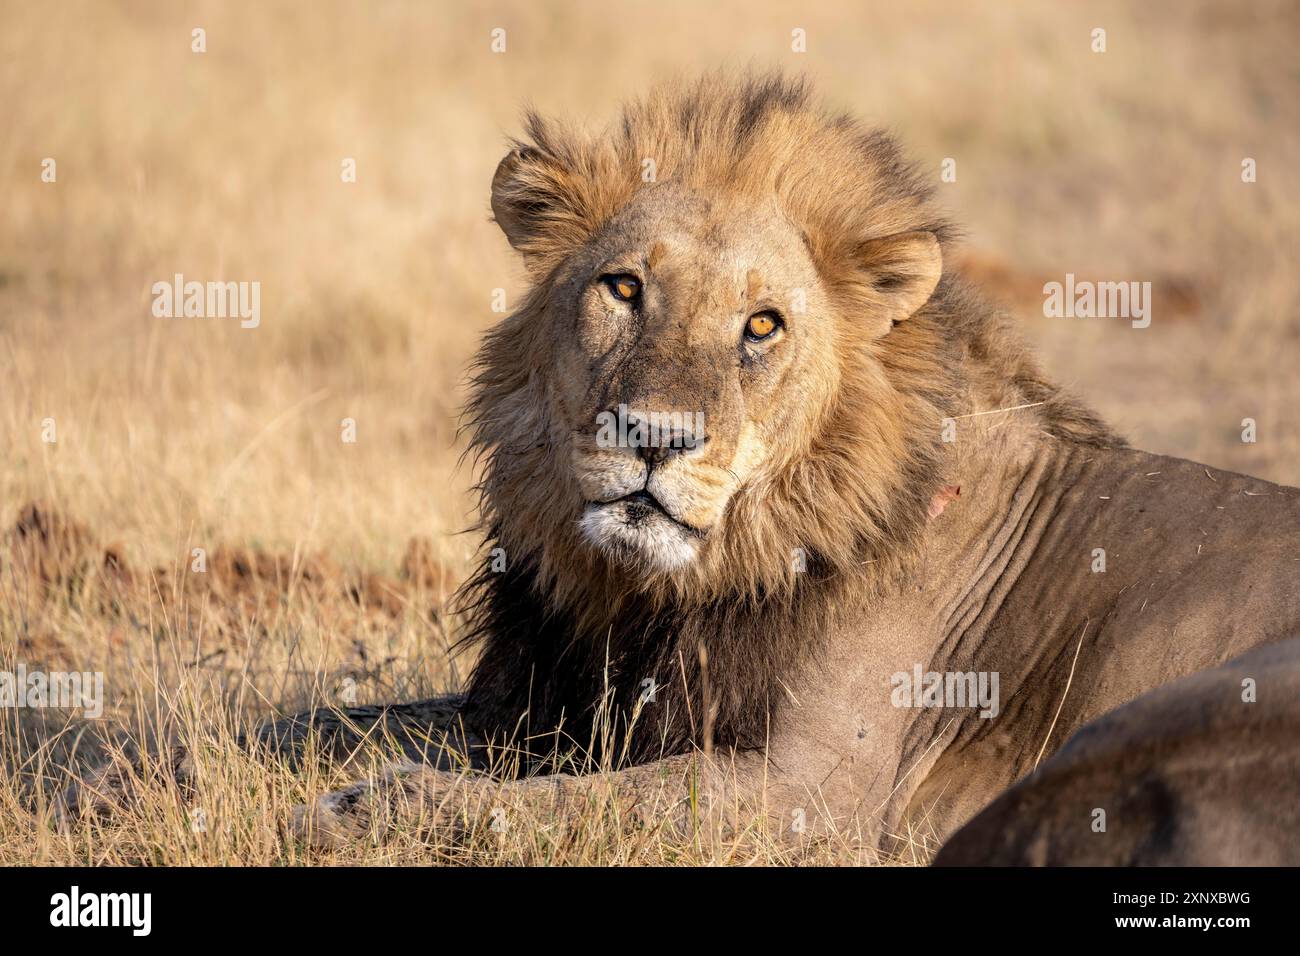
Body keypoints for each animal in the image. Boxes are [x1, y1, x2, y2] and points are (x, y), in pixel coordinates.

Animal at [61, 72, 1300, 868]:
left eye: (762, 326)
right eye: (623, 287)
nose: (652, 433)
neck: (652, 594)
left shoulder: (813, 791)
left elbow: (557, 807)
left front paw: (350, 815)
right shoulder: (530, 699)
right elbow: (317, 718)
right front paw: (124, 771)